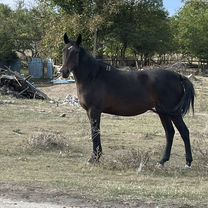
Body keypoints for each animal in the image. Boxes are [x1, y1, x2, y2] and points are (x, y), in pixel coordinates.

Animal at [60, 33, 195, 167]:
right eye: (64, 50)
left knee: (184, 132)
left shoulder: (94, 111)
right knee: (170, 132)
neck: (93, 76)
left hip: (174, 113)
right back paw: (162, 161)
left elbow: (95, 132)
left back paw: (188, 162)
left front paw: (94, 158)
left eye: (76, 52)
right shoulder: (89, 112)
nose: (64, 72)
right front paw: (95, 157)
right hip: (163, 112)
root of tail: (178, 76)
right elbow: (94, 132)